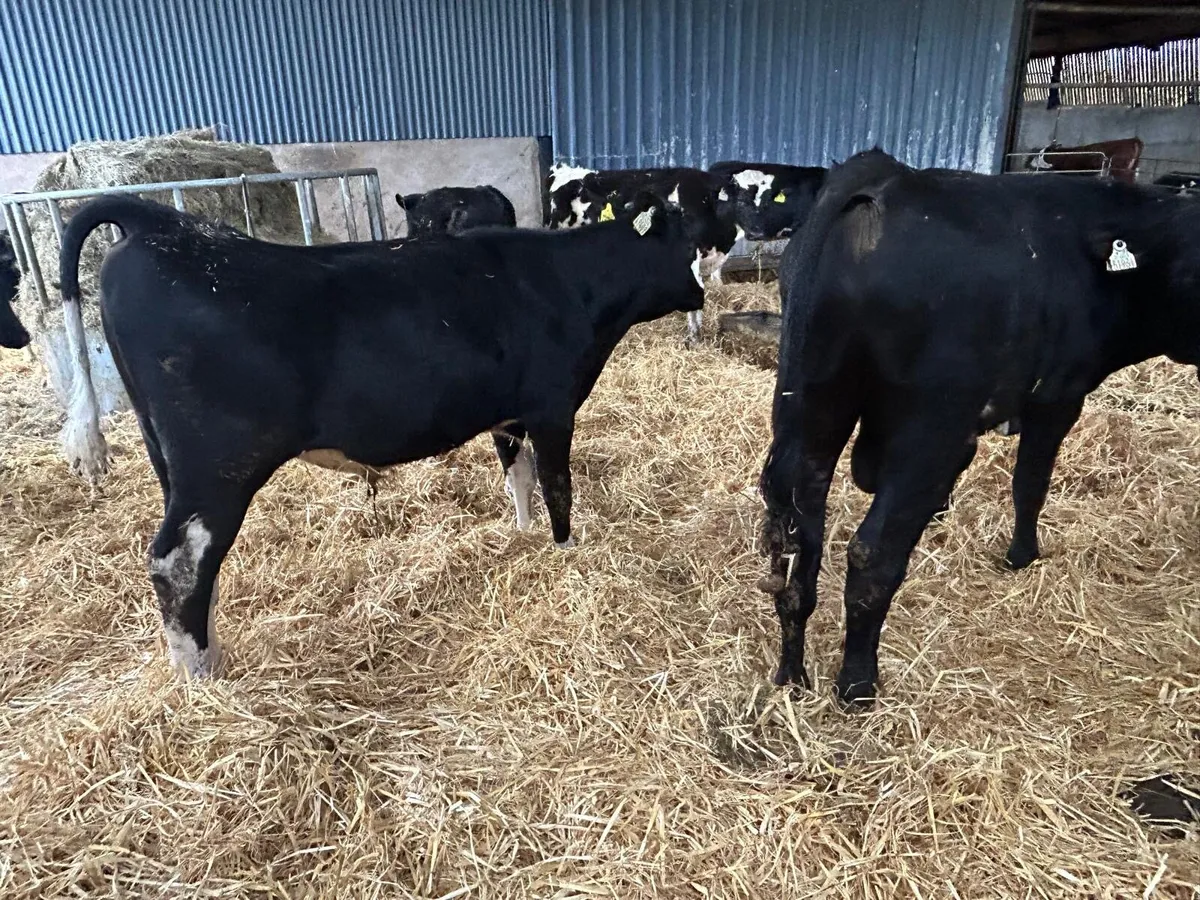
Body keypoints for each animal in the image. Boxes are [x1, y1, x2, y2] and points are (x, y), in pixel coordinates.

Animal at [57, 193, 706, 678]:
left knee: (199, 568)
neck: (566, 281)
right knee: (178, 562)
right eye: (685, 244)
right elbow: (557, 487)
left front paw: (522, 539)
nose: (701, 292)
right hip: (217, 464)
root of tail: (159, 223)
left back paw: (213, 653)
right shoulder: (552, 408)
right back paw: (202, 678)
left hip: (169, 458)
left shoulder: (510, 414)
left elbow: (517, 478)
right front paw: (567, 555)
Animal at [759, 148, 1200, 707]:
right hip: (928, 429)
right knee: (871, 554)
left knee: (798, 542)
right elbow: (1030, 483)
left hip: (816, 412)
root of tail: (882, 177)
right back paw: (857, 685)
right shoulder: (1058, 395)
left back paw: (792, 674)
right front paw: (1022, 557)